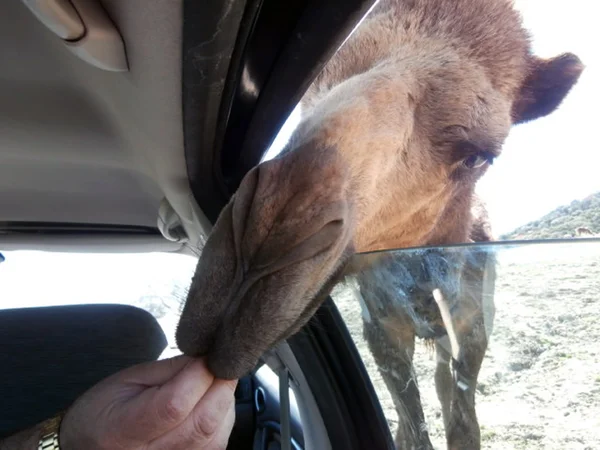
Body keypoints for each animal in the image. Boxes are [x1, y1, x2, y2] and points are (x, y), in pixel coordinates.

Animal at [177, 0, 580, 446]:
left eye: (478, 156)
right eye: (316, 90)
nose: (255, 251)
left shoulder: (474, 324)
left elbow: (462, 424)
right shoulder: (382, 330)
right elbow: (412, 425)